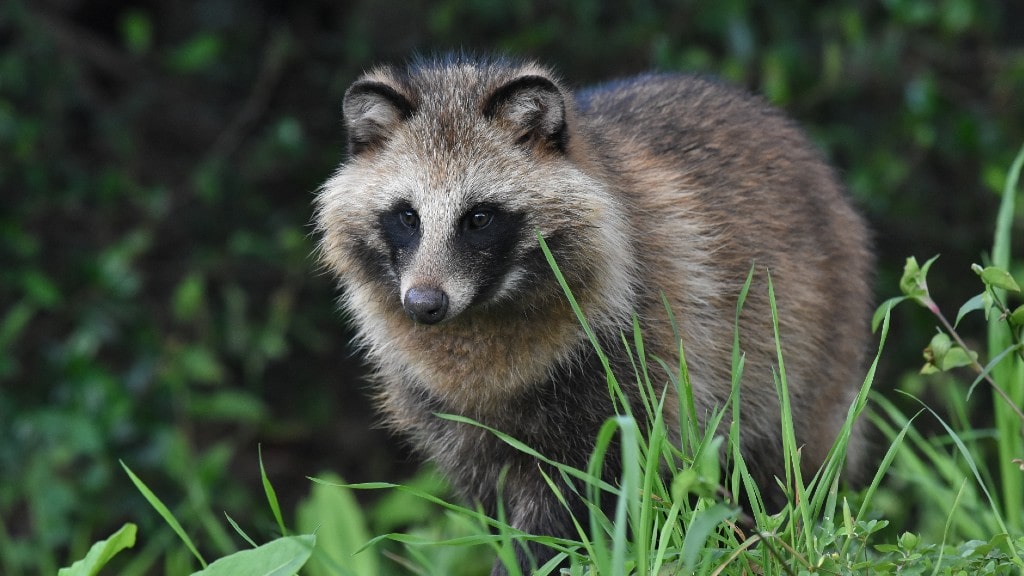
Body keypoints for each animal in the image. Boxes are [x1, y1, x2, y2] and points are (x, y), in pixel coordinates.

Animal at [313, 52, 872, 569]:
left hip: (811, 346)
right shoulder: (445, 410)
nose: (424, 305)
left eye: (479, 218)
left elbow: (582, 489)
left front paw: (534, 556)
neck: (481, 314)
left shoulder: (636, 353)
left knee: (785, 459)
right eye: (407, 216)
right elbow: (491, 496)